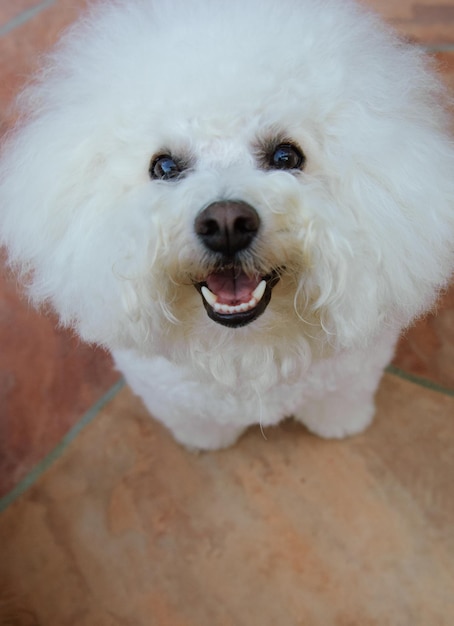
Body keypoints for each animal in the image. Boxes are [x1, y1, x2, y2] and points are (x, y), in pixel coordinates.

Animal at [0, 0, 454, 448]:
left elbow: (340, 401)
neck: (244, 348)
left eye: (286, 156)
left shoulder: (351, 375)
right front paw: (204, 442)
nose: (226, 224)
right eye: (165, 167)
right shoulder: (170, 392)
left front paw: (342, 426)